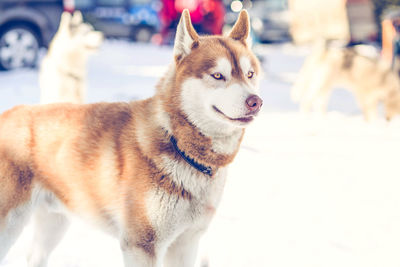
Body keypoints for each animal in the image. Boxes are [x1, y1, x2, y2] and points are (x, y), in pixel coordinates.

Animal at [0, 9, 262, 266]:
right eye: (218, 75)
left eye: (250, 74)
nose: (256, 102)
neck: (178, 145)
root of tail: (9, 113)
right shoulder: (142, 245)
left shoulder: (186, 243)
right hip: (10, 224)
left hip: (55, 222)